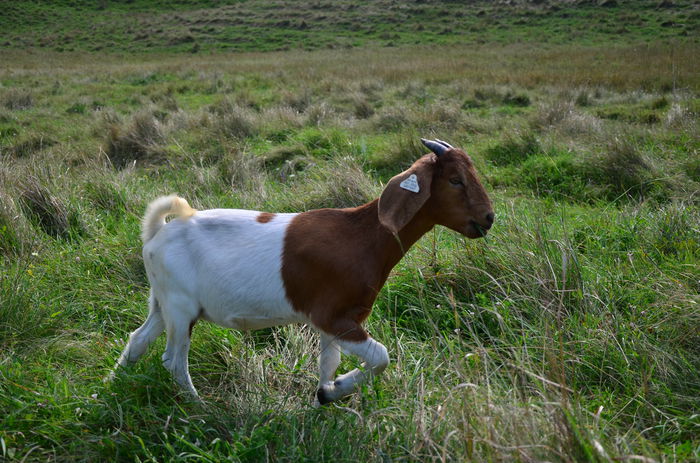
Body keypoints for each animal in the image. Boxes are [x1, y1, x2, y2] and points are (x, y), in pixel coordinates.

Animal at [110, 139, 492, 406]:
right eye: (455, 180)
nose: (488, 218)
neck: (362, 236)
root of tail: (158, 231)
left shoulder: (332, 323)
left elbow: (327, 363)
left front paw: (326, 394)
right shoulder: (334, 318)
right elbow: (381, 357)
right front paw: (334, 391)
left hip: (161, 302)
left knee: (138, 339)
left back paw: (108, 389)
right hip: (180, 306)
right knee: (174, 361)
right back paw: (199, 405)